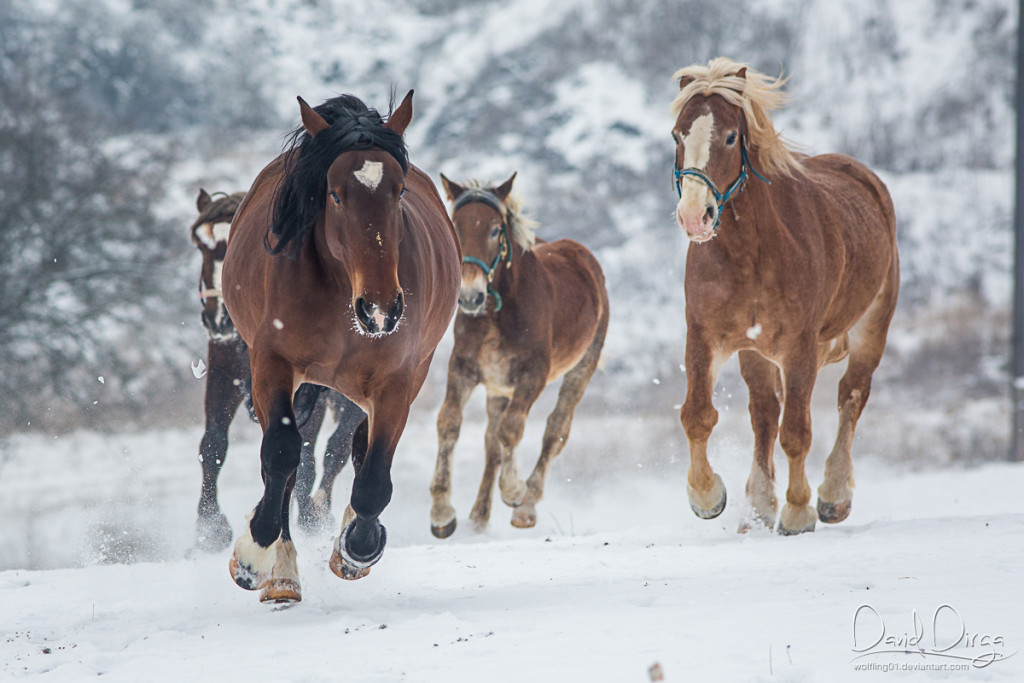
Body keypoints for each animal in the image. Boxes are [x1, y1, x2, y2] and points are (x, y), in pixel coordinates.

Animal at [188, 189, 364, 552]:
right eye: (201, 246)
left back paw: (316, 512)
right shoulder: (224, 372)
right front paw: (208, 528)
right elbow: (213, 444)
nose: (219, 319)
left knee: (335, 449)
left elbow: (309, 454)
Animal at [226, 92, 462, 602]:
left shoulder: (397, 382)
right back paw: (282, 575)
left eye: (398, 191)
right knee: (287, 463)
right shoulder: (272, 364)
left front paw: (357, 549)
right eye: (335, 194)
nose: (380, 309)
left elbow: (373, 475)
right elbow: (281, 454)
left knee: (356, 447)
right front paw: (254, 556)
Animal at [425, 176, 602, 540]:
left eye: (495, 230)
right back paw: (478, 518)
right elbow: (450, 423)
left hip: (581, 368)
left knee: (555, 431)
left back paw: (526, 505)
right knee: (491, 445)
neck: (498, 311)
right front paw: (442, 513)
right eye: (456, 226)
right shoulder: (463, 368)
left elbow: (512, 430)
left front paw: (514, 490)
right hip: (497, 387)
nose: (469, 296)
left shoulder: (533, 374)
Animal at [667, 58, 901, 536]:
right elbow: (698, 415)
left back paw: (833, 496)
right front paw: (707, 496)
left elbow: (797, 432)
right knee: (764, 413)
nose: (695, 217)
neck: (750, 255)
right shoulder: (705, 338)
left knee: (851, 394)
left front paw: (797, 512)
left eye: (730, 136)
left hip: (872, 324)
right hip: (755, 353)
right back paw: (758, 506)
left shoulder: (799, 347)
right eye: (678, 135)